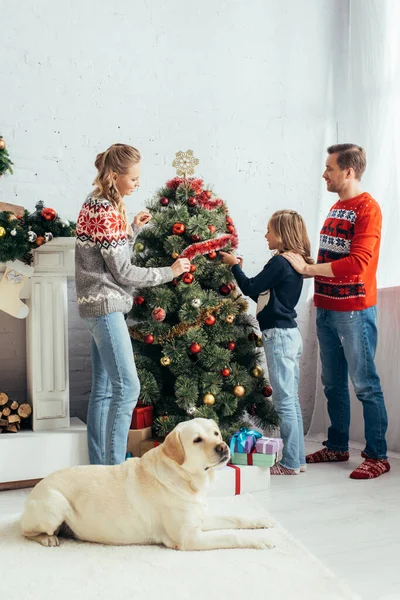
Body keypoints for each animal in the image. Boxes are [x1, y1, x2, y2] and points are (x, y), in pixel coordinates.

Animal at [21, 420, 272, 552]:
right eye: (197, 440)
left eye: (216, 433)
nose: (223, 446)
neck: (185, 479)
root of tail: (36, 488)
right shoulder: (188, 538)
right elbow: (231, 536)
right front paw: (262, 540)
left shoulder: (200, 519)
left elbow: (234, 518)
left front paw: (262, 521)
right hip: (55, 504)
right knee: (27, 532)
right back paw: (47, 538)